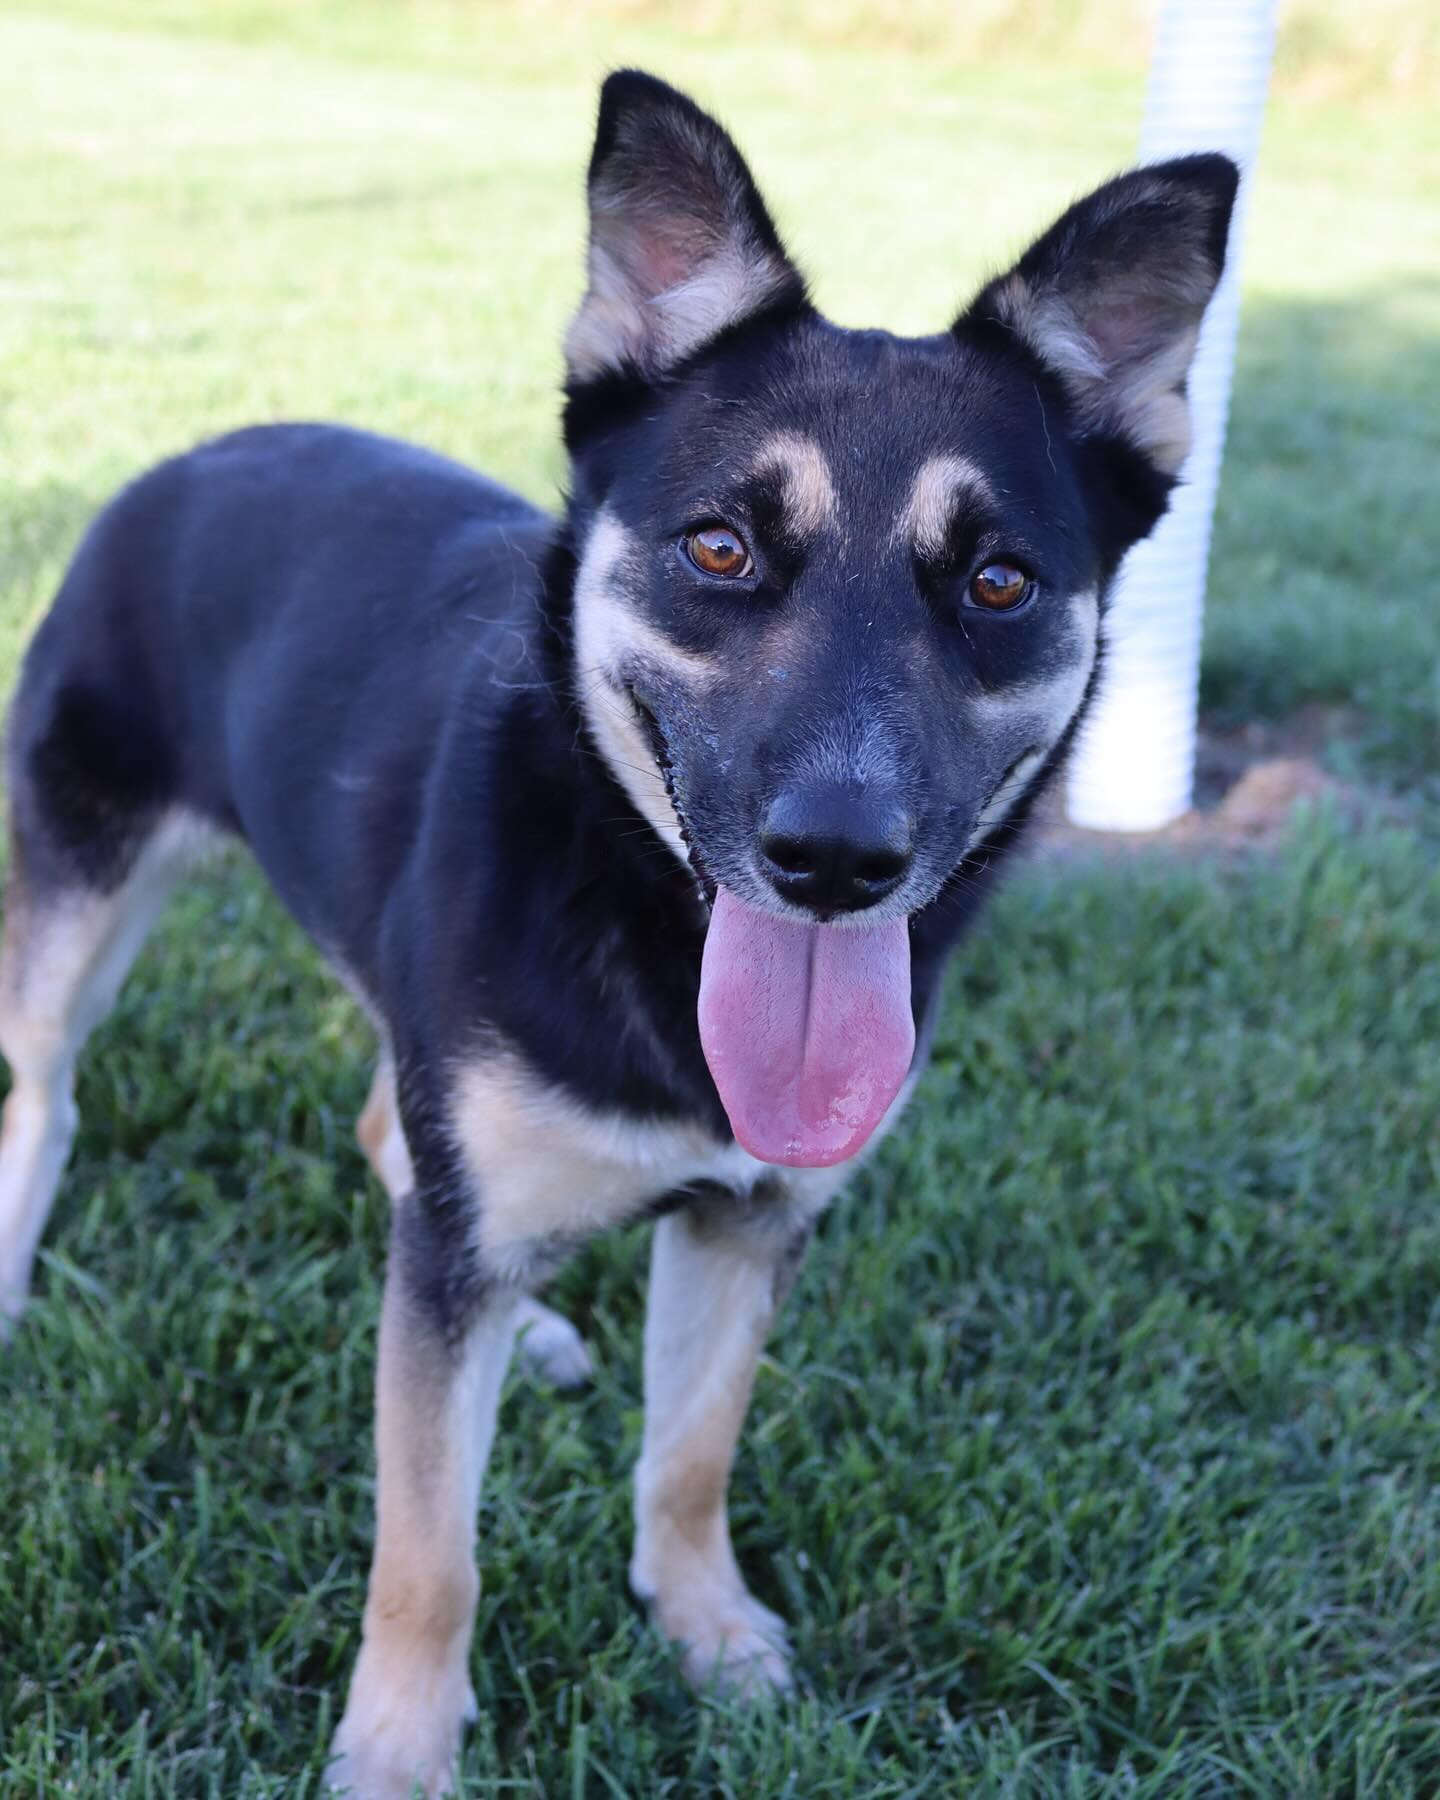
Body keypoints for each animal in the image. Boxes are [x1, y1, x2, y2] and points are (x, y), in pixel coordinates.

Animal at [0, 70, 1238, 1800]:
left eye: (999, 582)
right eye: (721, 547)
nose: (836, 861)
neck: (642, 903)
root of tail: (192, 454)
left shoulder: (747, 1223)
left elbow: (691, 1456)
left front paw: (706, 1633)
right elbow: (429, 1551)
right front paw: (399, 1751)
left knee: (399, 1150)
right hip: (78, 891)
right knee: (49, 1097)